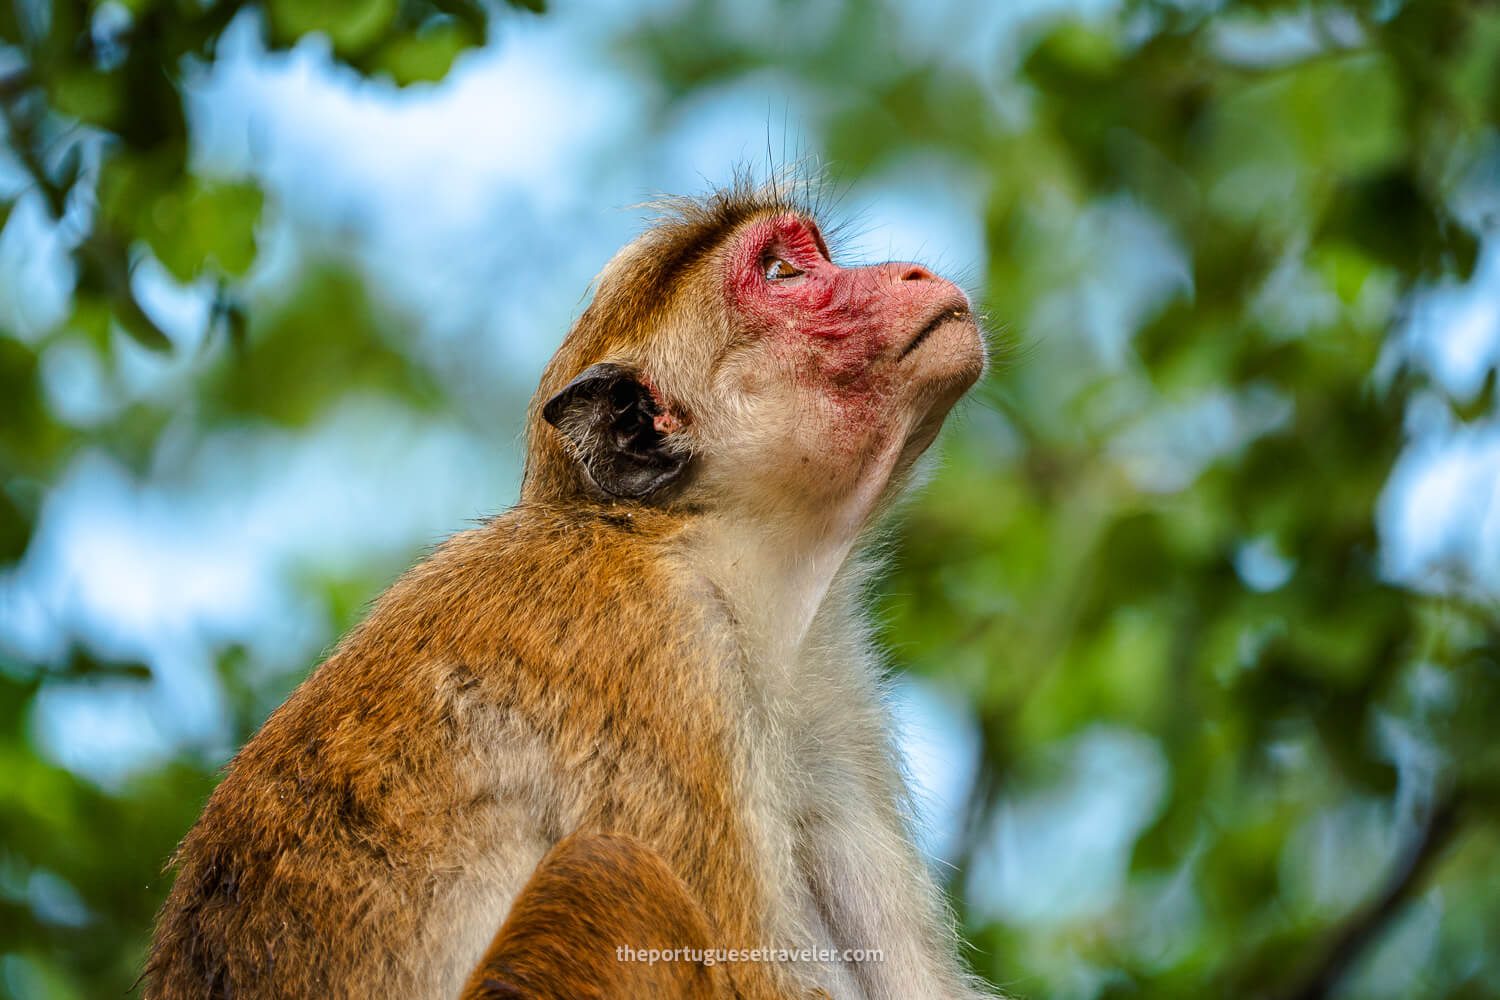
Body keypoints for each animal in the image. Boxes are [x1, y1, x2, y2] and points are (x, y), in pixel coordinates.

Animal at [146, 179, 990, 1000]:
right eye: (783, 273)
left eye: (812, 255)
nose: (913, 274)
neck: (720, 549)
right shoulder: (651, 644)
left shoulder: (830, 709)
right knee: (609, 873)